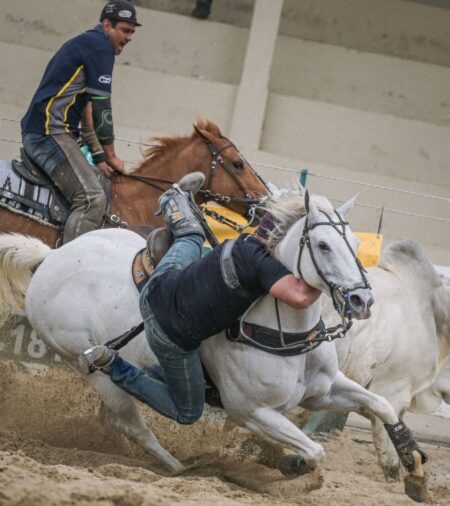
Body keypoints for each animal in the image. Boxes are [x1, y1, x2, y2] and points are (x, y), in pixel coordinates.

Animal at [0, 190, 429, 502]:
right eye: (323, 246)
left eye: (354, 242)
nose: (362, 300)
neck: (278, 330)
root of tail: (50, 258)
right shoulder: (252, 412)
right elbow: (314, 452)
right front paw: (287, 466)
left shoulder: (323, 390)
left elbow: (382, 406)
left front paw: (414, 470)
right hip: (85, 364)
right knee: (133, 420)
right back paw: (182, 468)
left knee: (114, 418)